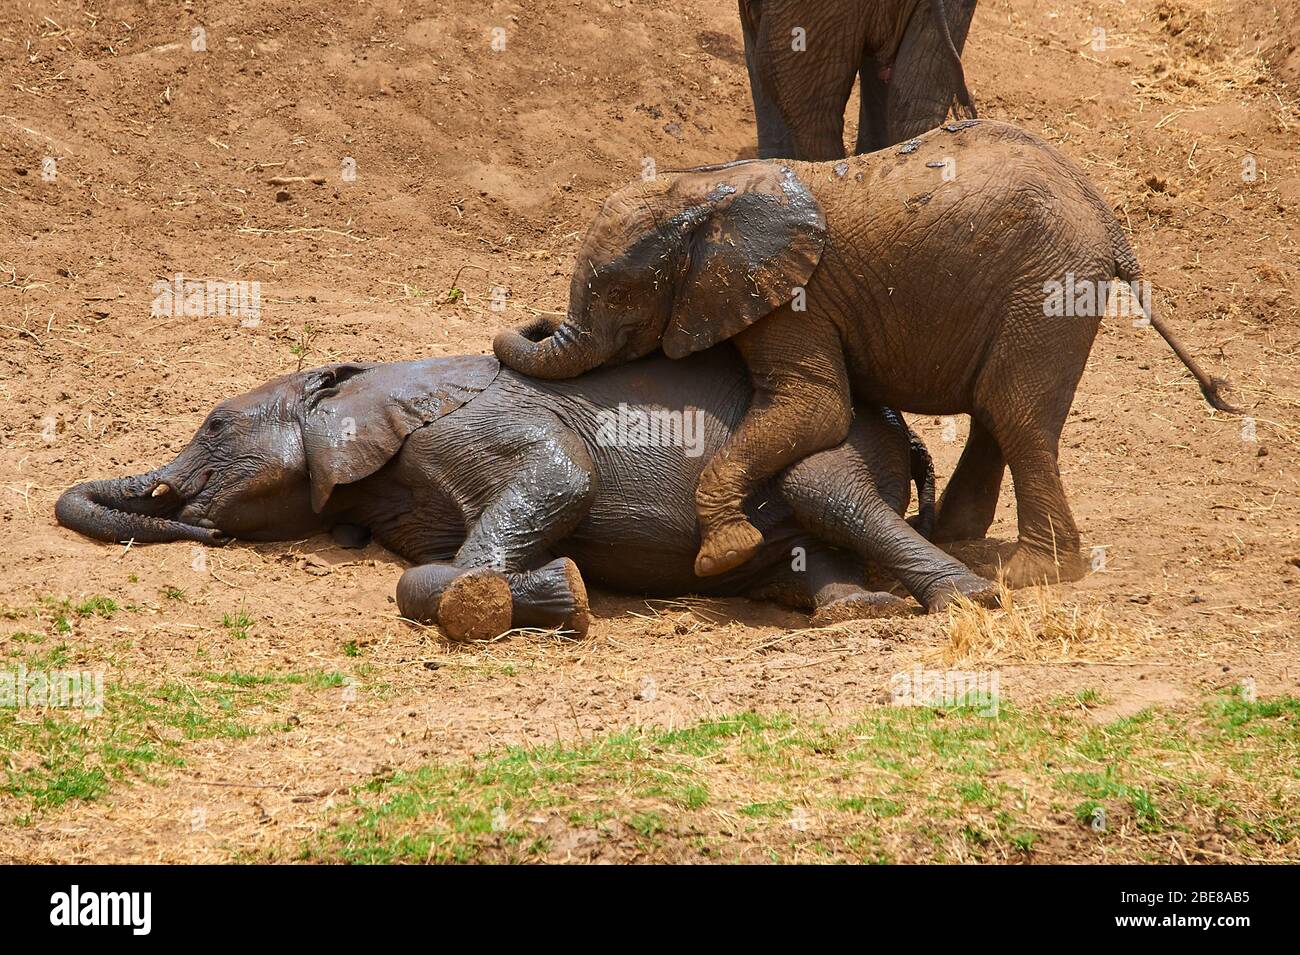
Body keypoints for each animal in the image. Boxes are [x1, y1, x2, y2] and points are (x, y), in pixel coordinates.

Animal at [55, 347, 997, 642]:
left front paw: (555, 592)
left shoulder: (482, 427)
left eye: (216, 424)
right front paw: (549, 587)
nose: (204, 532)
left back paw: (968, 601)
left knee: (821, 486)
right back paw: (854, 611)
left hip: (835, 439)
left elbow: (564, 476)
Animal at [492, 120, 1235, 589]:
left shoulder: (794, 298)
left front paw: (724, 555)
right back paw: (951, 537)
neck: (705, 190)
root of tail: (1109, 220)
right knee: (996, 405)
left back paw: (1030, 574)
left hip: (1051, 283)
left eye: (618, 293)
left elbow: (817, 408)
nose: (536, 321)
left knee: (1017, 415)